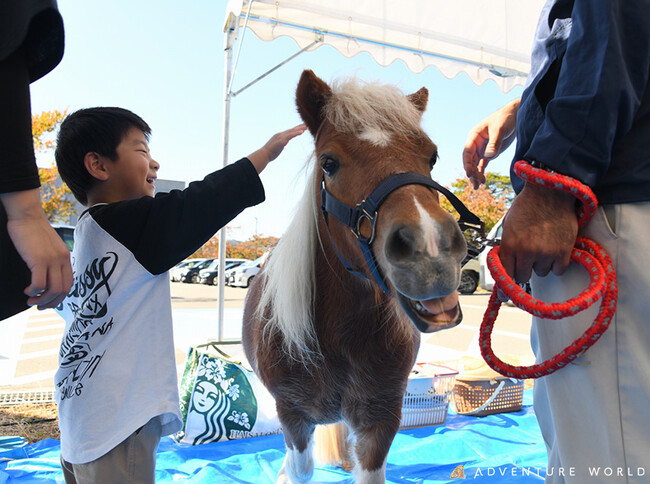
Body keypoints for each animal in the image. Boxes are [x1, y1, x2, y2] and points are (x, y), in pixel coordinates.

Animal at [242, 70, 468, 484]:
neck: (338, 335)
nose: (431, 249)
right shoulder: (293, 417)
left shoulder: (379, 420)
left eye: (432, 155)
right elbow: (299, 467)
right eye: (329, 163)